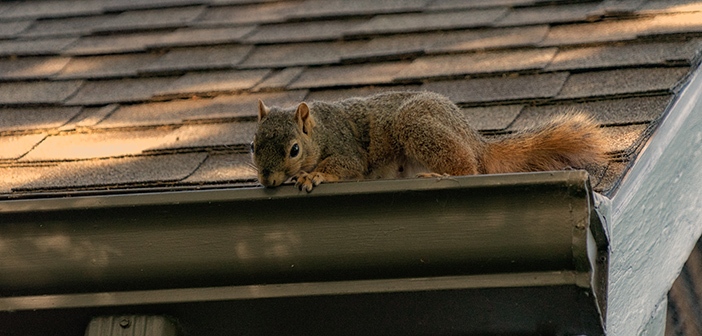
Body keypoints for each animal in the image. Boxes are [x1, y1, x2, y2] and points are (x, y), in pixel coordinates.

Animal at [252, 91, 604, 192]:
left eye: (294, 150)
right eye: (253, 145)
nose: (267, 181)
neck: (321, 130)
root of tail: (477, 141)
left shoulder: (345, 147)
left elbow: (345, 165)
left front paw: (311, 175)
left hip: (417, 124)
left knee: (468, 170)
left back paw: (441, 174)